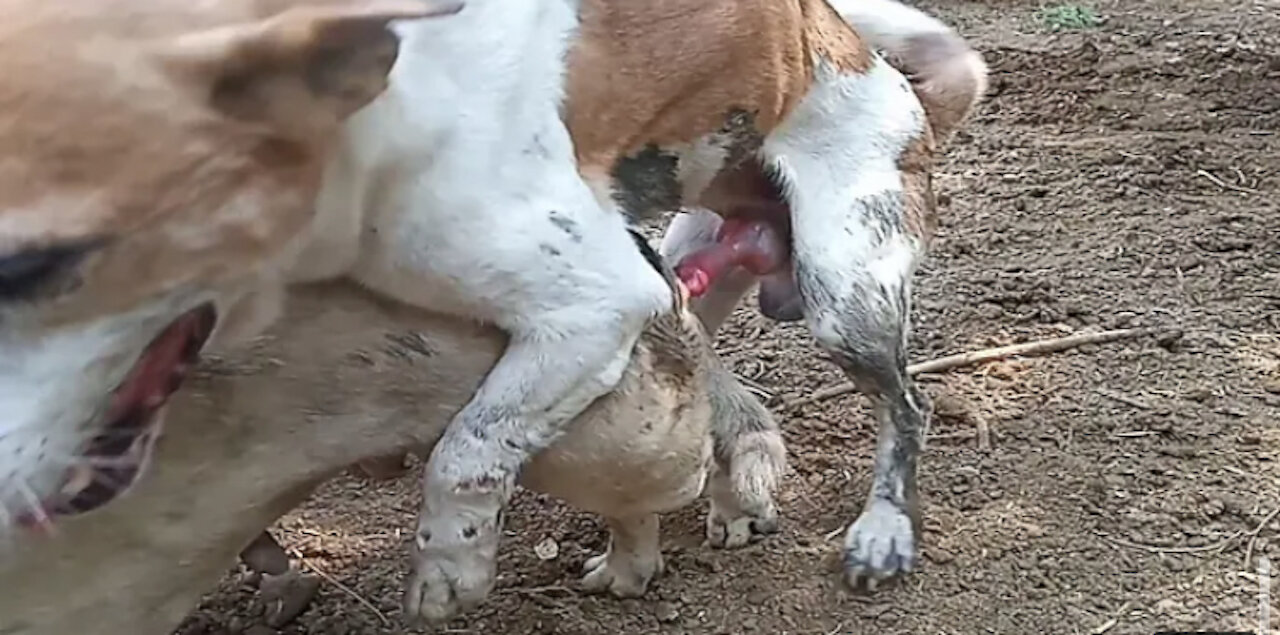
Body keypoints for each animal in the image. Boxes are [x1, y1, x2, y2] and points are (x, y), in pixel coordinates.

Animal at [304, 0, 983, 619]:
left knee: (907, 409)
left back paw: (883, 529)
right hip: (688, 271)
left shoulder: (598, 309)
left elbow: (467, 448)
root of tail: (907, 98)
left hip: (845, 299)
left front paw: (447, 564)